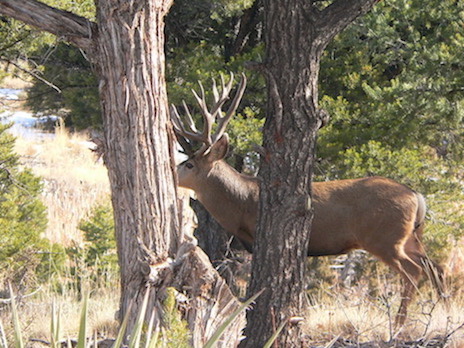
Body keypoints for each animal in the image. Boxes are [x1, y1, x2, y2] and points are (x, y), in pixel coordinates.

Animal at [170, 72, 446, 326]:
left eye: (190, 164)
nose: (172, 169)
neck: (242, 202)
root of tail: (417, 196)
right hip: (411, 236)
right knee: (435, 267)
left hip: (384, 237)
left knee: (414, 271)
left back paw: (399, 323)